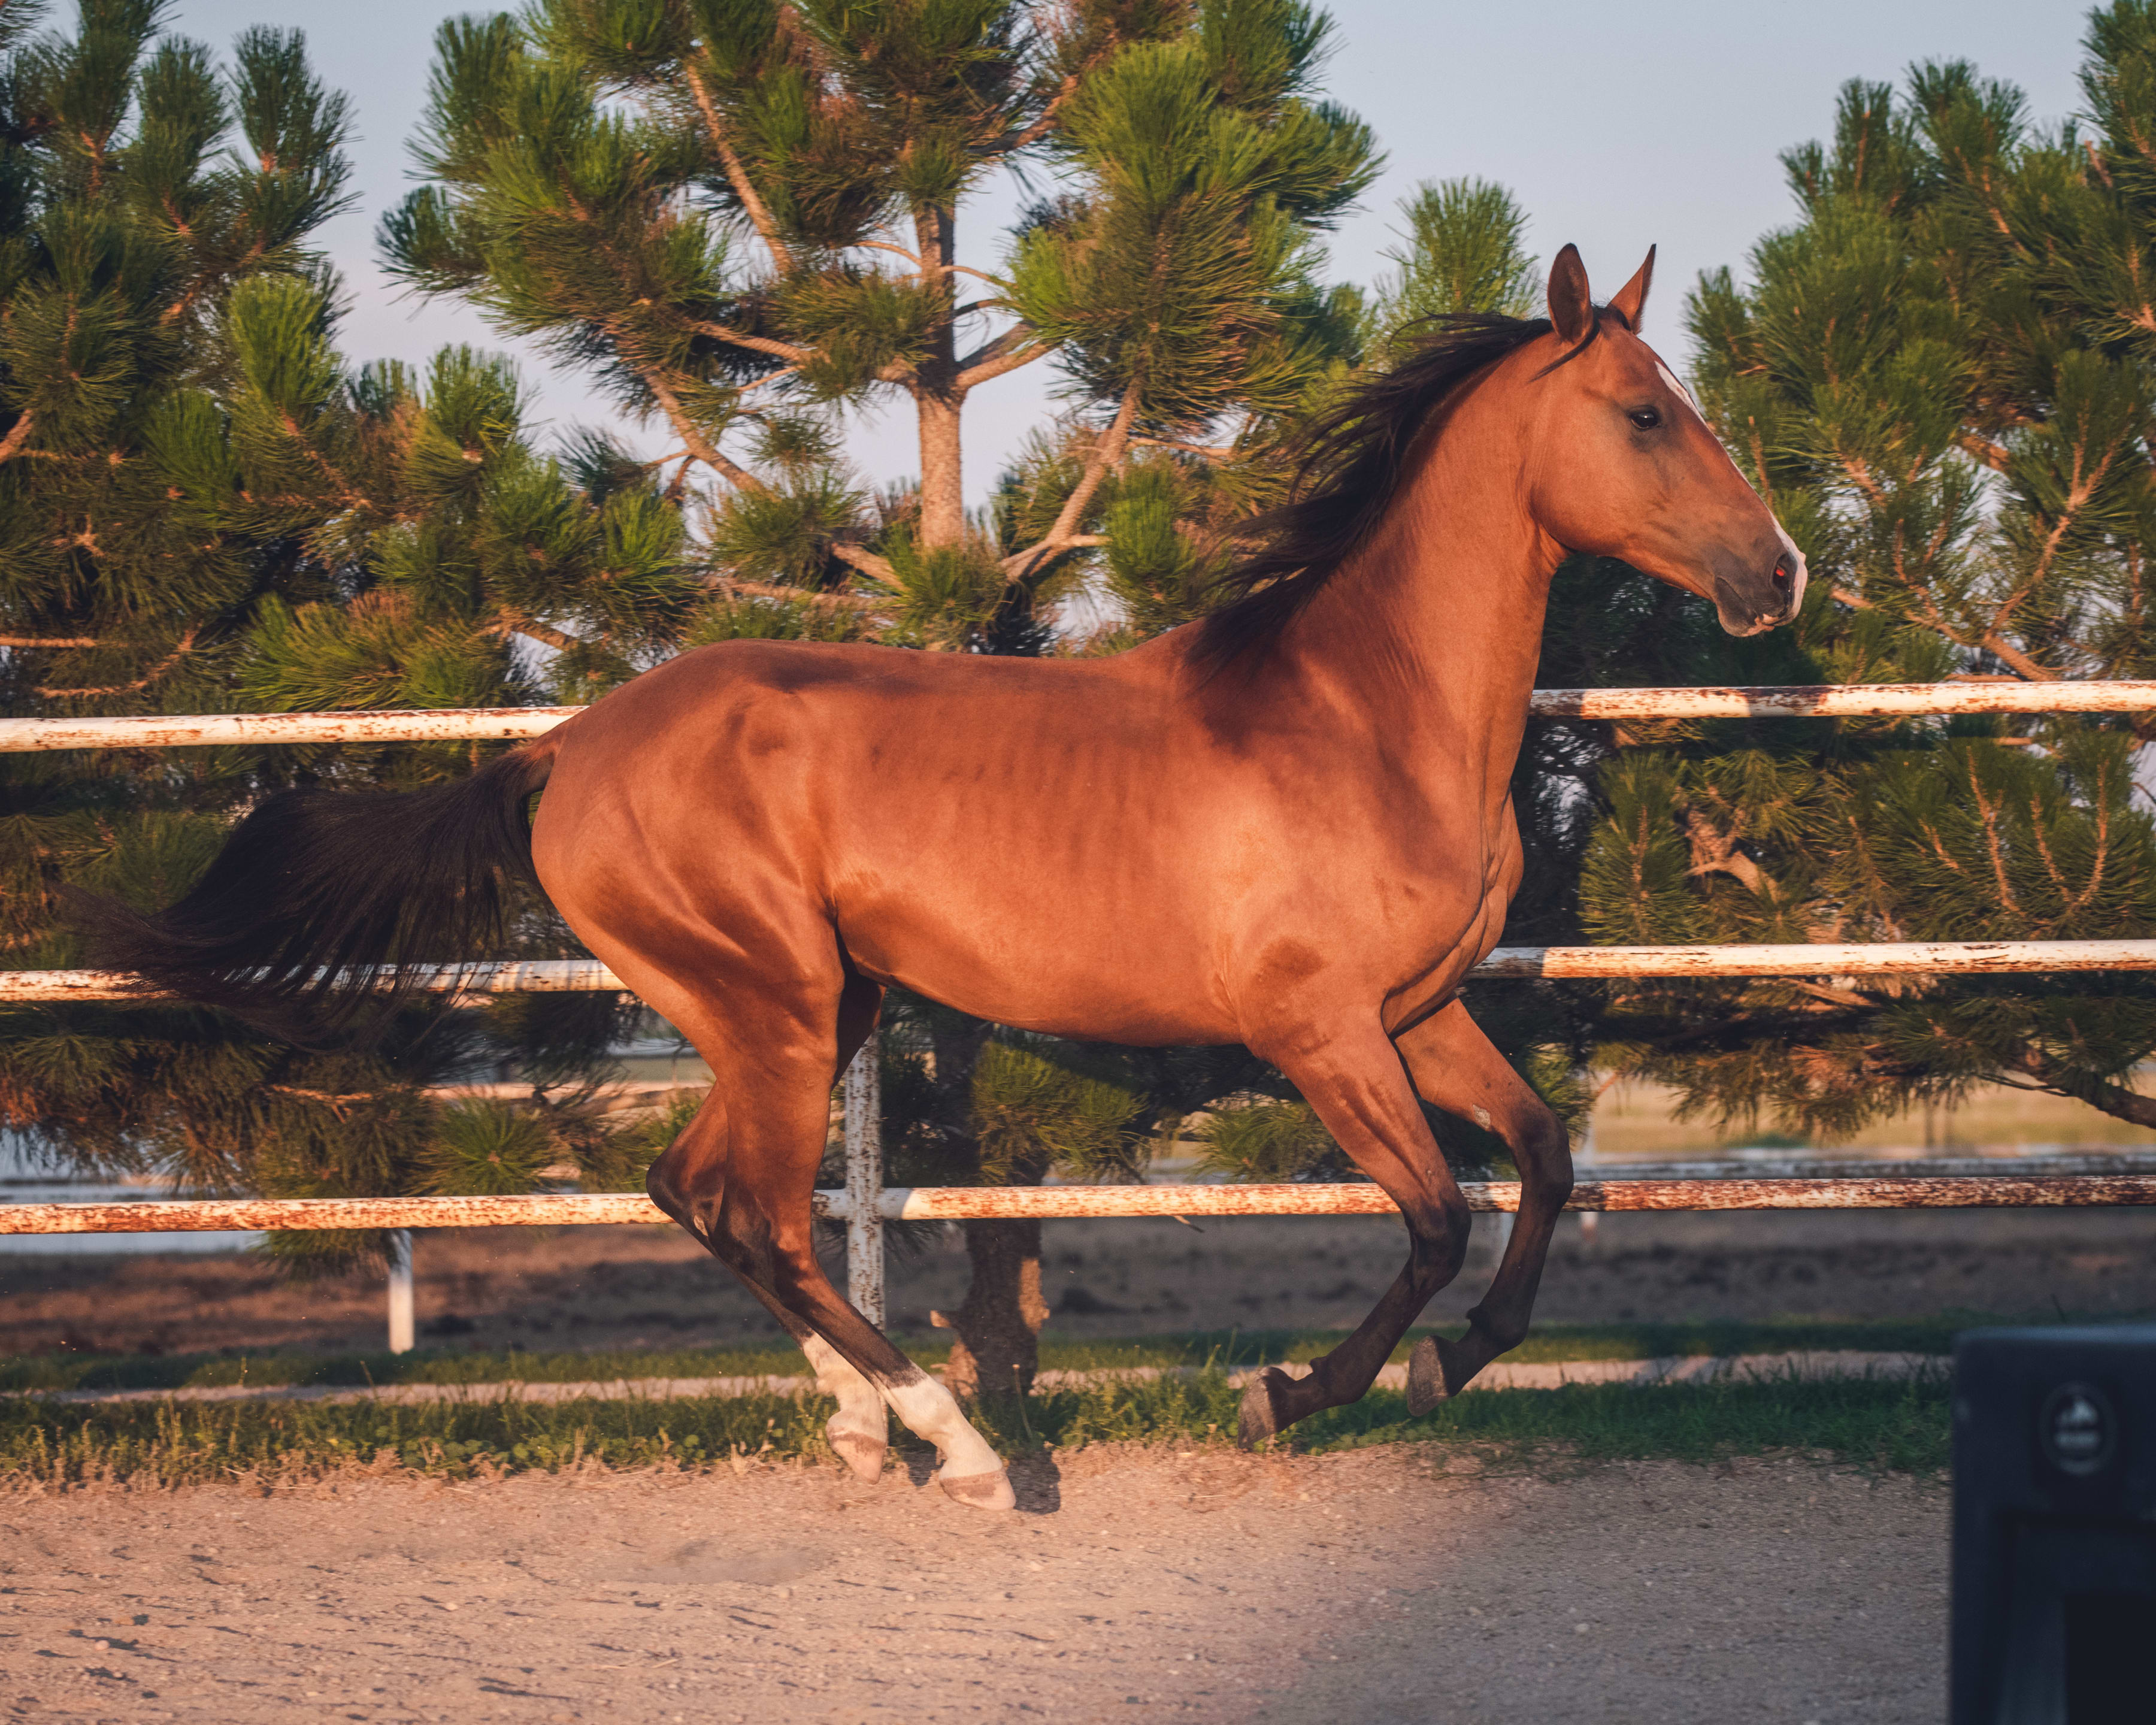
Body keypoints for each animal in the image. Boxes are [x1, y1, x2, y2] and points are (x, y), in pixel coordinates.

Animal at [83, 245, 1803, 1512]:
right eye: (1646, 415)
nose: (1778, 574)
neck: (1361, 715)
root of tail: (564, 748)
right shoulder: (1317, 1031)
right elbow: (1439, 1215)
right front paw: (1290, 1395)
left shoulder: (1424, 1013)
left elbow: (1548, 1164)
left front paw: (1451, 1366)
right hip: (778, 1008)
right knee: (767, 1217)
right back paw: (965, 1455)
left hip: (797, 1014)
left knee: (697, 1193)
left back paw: (865, 1427)